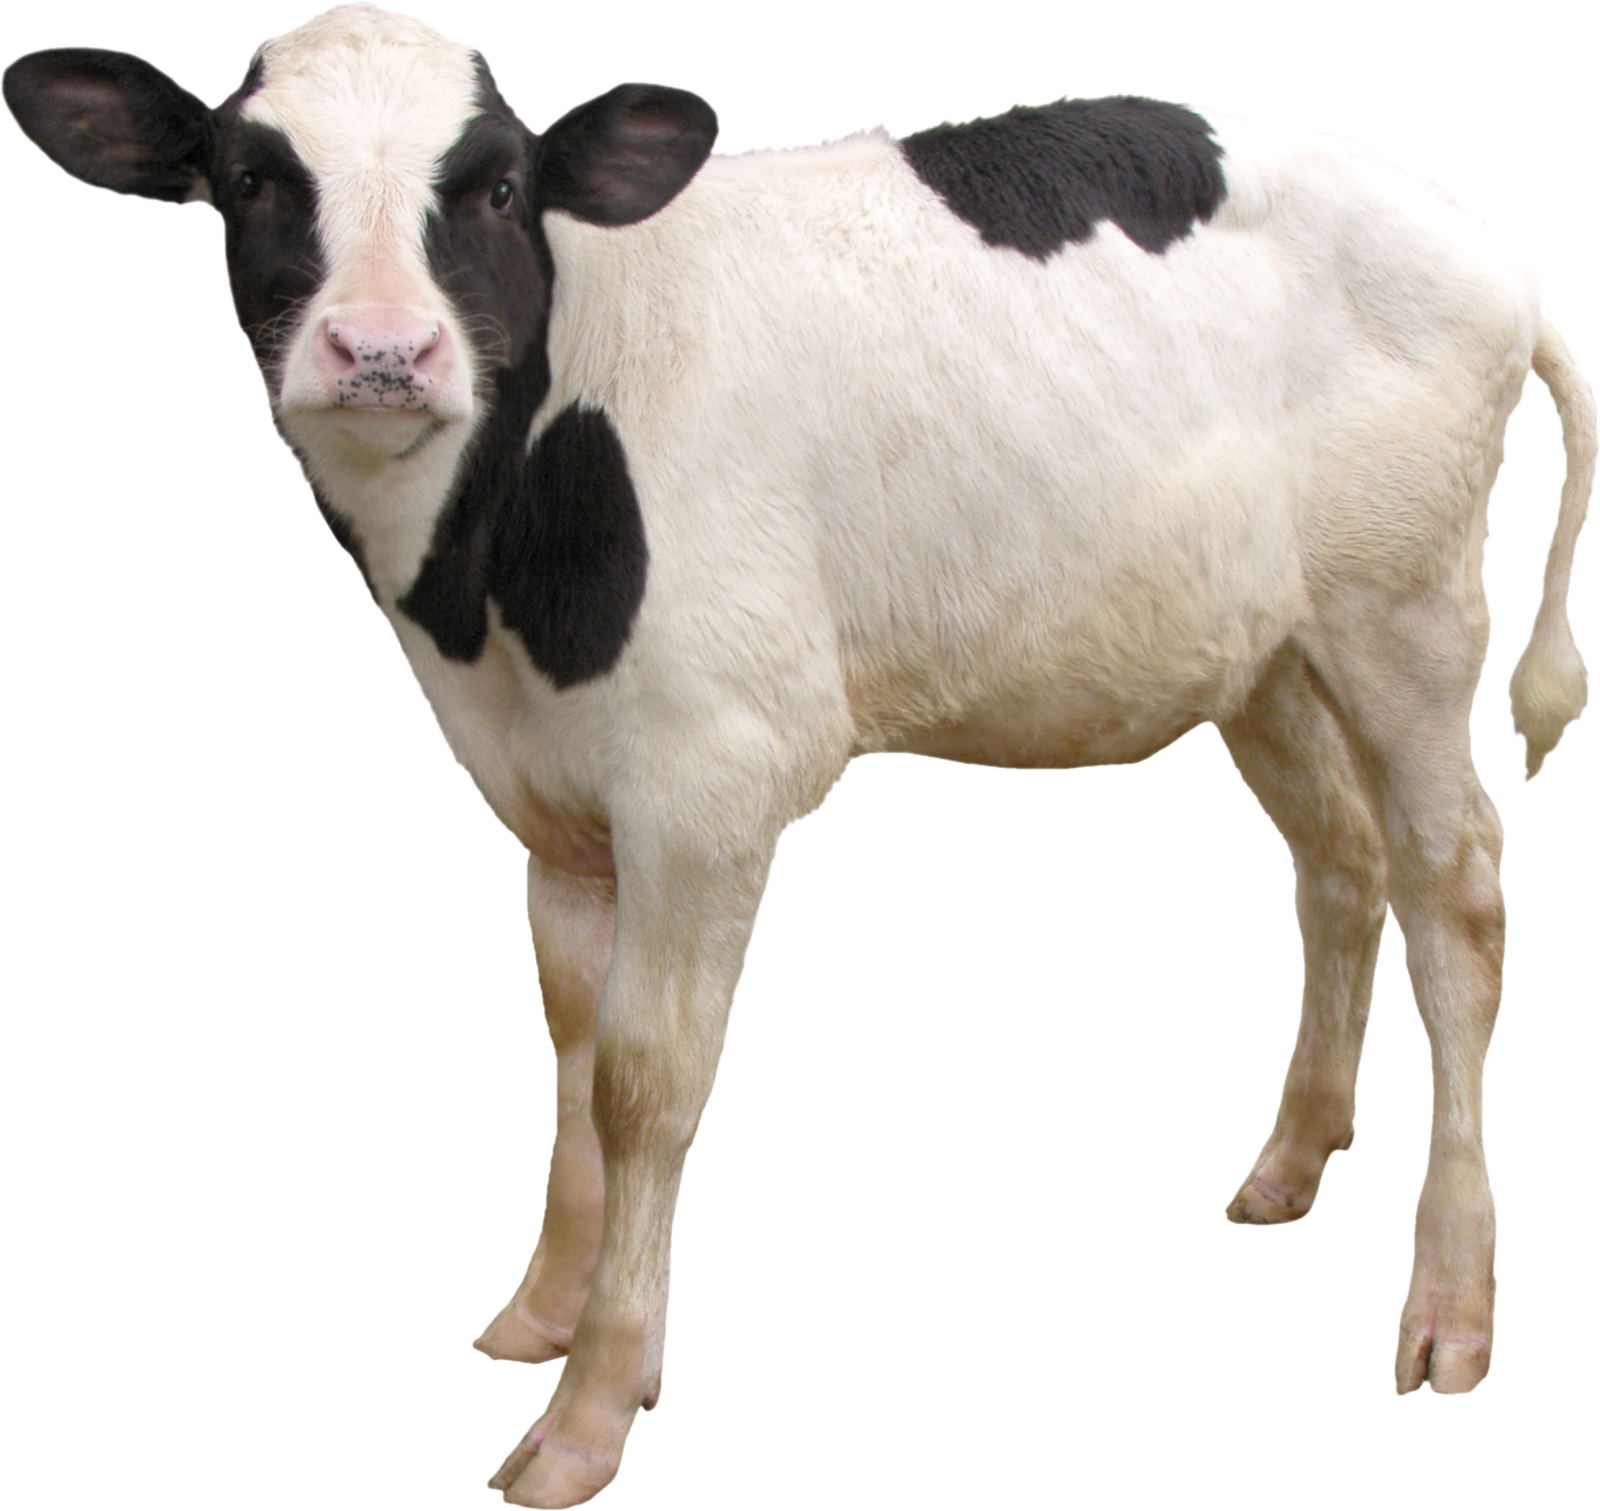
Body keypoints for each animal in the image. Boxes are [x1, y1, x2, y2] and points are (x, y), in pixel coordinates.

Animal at [5, 4, 1593, 1504]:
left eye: (499, 185)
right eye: (252, 179)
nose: (382, 350)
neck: (486, 585)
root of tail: (1482, 251)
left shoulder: (708, 783)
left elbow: (645, 1079)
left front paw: (590, 1405)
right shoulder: (551, 800)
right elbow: (569, 1042)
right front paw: (544, 1308)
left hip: (1406, 615)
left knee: (1456, 893)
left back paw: (1449, 1303)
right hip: (1267, 650)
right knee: (1338, 866)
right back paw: (1289, 1162)